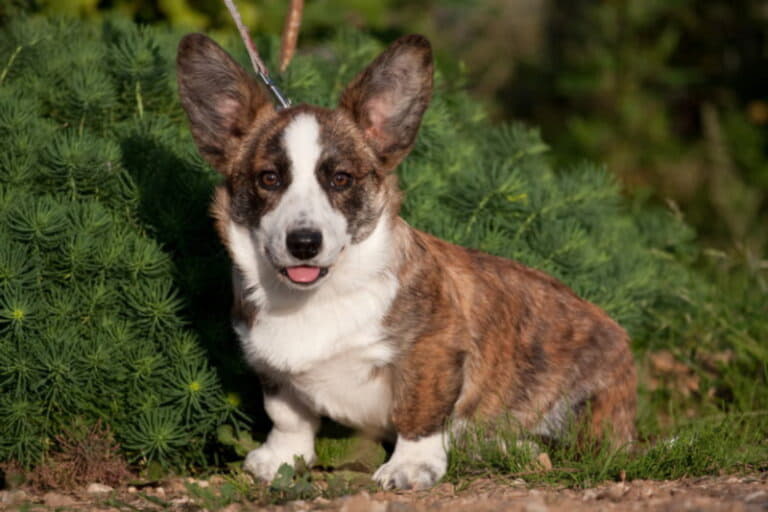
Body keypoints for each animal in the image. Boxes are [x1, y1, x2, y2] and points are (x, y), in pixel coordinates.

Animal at [177, 32, 640, 488]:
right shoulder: (272, 368)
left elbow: (418, 411)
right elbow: (287, 415)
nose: (304, 243)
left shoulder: (432, 350)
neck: (316, 297)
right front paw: (281, 458)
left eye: (341, 179)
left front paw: (410, 467)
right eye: (269, 179)